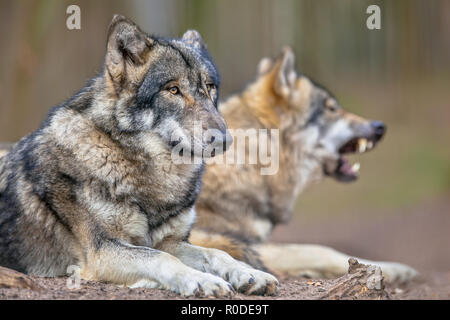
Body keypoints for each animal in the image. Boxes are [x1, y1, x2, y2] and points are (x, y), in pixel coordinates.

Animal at [0, 14, 278, 296]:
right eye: (173, 90)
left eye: (209, 87)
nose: (223, 140)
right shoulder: (103, 251)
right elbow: (162, 259)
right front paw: (202, 280)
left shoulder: (171, 242)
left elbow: (216, 253)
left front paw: (251, 274)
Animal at [189, 47, 418, 282]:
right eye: (331, 109)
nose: (380, 126)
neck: (250, 162)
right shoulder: (234, 241)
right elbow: (321, 249)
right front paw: (394, 269)